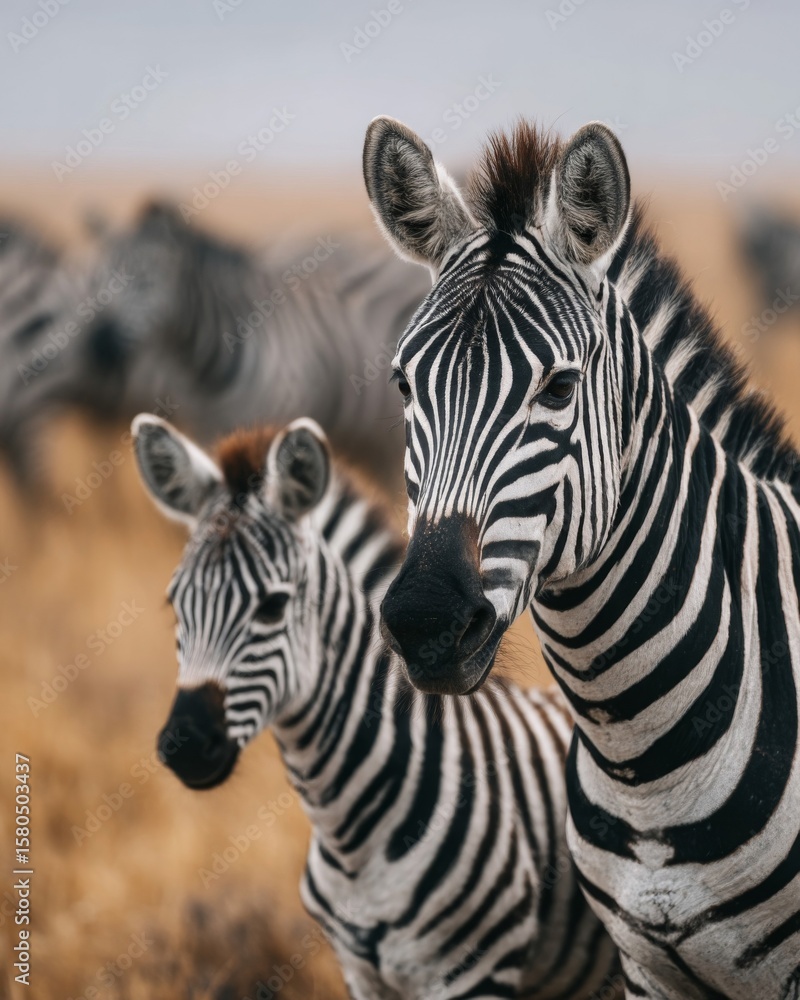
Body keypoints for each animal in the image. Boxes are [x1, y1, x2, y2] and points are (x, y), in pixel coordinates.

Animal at [132, 413, 621, 1000]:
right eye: (175, 604)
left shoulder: (475, 973)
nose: (183, 745)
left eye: (272, 606)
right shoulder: (359, 973)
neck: (349, 834)